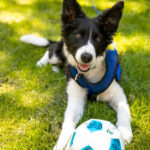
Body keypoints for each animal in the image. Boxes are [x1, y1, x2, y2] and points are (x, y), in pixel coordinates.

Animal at [19, 0, 132, 149]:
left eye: (98, 38)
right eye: (77, 35)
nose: (86, 57)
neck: (90, 74)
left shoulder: (118, 93)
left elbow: (124, 108)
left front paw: (125, 131)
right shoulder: (75, 99)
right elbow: (68, 125)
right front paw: (61, 143)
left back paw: (56, 69)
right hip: (58, 53)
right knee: (50, 49)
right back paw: (41, 63)